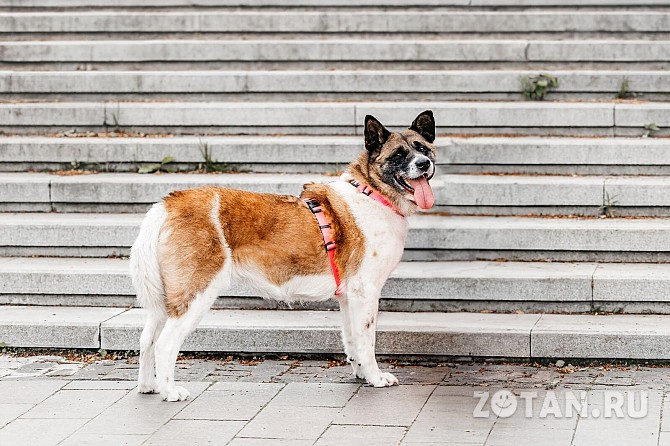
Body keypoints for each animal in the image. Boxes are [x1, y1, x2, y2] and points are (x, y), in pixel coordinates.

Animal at [129, 110, 438, 400]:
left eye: (422, 148)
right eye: (398, 154)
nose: (424, 163)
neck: (372, 192)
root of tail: (167, 205)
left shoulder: (349, 297)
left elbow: (352, 339)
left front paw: (361, 373)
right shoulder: (366, 292)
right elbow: (367, 340)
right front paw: (375, 377)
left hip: (166, 299)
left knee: (147, 340)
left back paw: (148, 386)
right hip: (196, 293)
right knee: (165, 344)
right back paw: (170, 391)